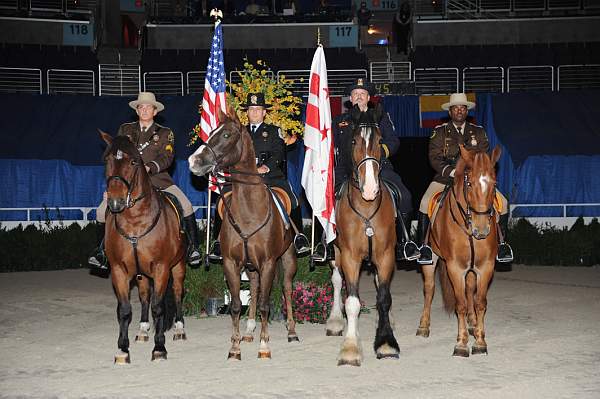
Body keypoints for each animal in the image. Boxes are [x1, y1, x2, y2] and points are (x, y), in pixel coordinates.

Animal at [100, 133, 188, 364]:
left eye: (133, 162)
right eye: (107, 160)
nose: (115, 202)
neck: (135, 220)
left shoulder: (161, 268)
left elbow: (159, 307)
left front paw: (159, 348)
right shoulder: (119, 270)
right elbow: (125, 309)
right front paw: (123, 349)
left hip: (178, 266)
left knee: (177, 292)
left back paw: (179, 329)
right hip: (141, 274)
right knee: (144, 296)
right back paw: (142, 330)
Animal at [188, 105, 298, 360]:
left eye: (226, 135)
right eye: (212, 132)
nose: (194, 161)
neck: (249, 210)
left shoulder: (268, 262)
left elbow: (266, 304)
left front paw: (264, 346)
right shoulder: (231, 263)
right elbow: (238, 304)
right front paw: (235, 347)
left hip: (287, 258)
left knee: (287, 288)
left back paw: (291, 331)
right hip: (251, 266)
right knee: (255, 288)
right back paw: (249, 331)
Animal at [326, 104, 400, 368]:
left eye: (379, 140)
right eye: (354, 140)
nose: (369, 189)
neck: (366, 208)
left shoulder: (385, 254)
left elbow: (384, 297)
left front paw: (386, 342)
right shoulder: (350, 256)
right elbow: (352, 301)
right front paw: (350, 348)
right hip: (336, 254)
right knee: (338, 282)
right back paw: (336, 321)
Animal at [418, 145, 502, 358]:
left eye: (494, 183)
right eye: (469, 183)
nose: (481, 230)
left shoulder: (485, 266)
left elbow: (480, 302)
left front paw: (480, 341)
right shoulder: (455, 268)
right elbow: (461, 304)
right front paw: (461, 344)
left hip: (471, 268)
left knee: (470, 289)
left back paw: (473, 324)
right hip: (431, 260)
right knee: (429, 289)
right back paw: (424, 326)